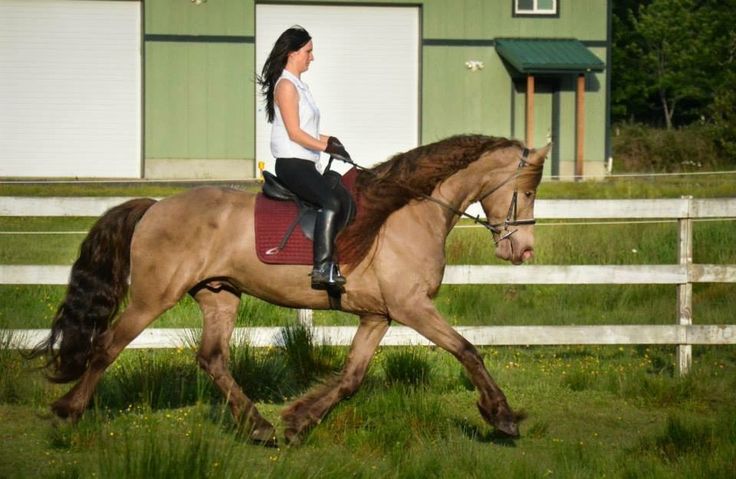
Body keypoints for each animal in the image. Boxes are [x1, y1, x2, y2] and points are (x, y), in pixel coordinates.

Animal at [30, 134, 548, 446]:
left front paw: (299, 420)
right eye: (526, 190)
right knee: (106, 347)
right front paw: (501, 416)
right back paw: (67, 411)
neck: (406, 212)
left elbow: (351, 378)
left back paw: (259, 427)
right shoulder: (413, 308)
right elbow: (468, 350)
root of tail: (155, 206)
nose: (523, 250)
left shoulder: (379, 315)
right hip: (152, 297)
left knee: (212, 359)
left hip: (219, 294)